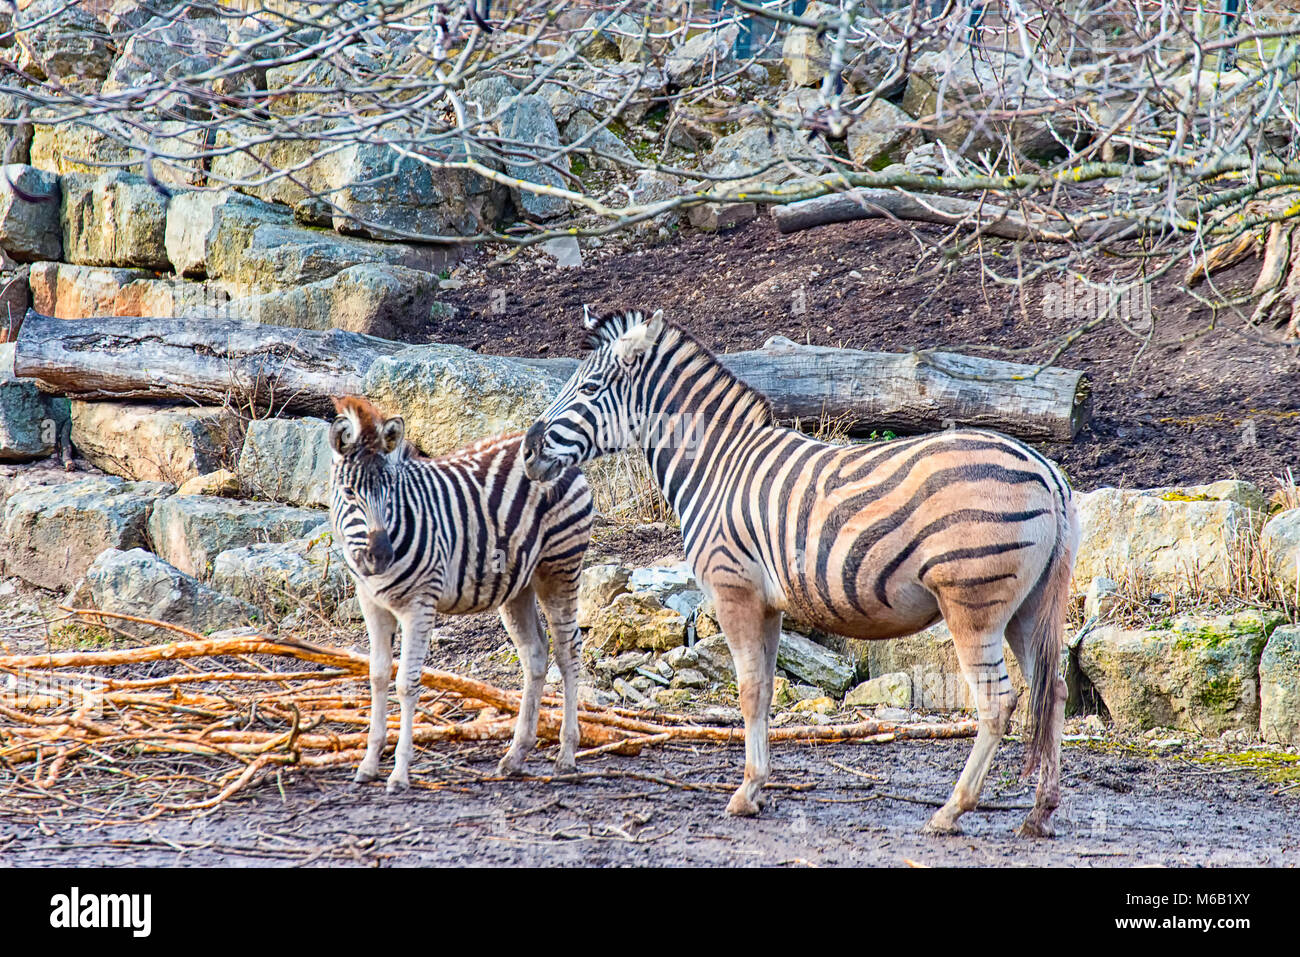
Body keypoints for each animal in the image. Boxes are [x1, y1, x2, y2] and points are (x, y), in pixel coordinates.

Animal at [329, 395, 594, 792]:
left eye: (389, 494)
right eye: (349, 493)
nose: (380, 556)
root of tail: (561, 457)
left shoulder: (419, 605)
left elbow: (406, 683)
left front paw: (399, 773)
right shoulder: (371, 603)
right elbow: (377, 676)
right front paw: (368, 764)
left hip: (559, 567)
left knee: (569, 650)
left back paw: (566, 754)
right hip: (518, 584)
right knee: (535, 654)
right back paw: (516, 755)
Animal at [522, 310, 1079, 837]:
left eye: (589, 389)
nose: (527, 450)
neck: (716, 467)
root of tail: (1045, 468)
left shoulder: (734, 590)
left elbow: (747, 693)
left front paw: (745, 793)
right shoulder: (769, 605)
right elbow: (765, 692)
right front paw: (759, 789)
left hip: (972, 603)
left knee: (998, 702)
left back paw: (951, 810)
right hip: (1030, 607)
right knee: (1053, 693)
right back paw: (1040, 813)